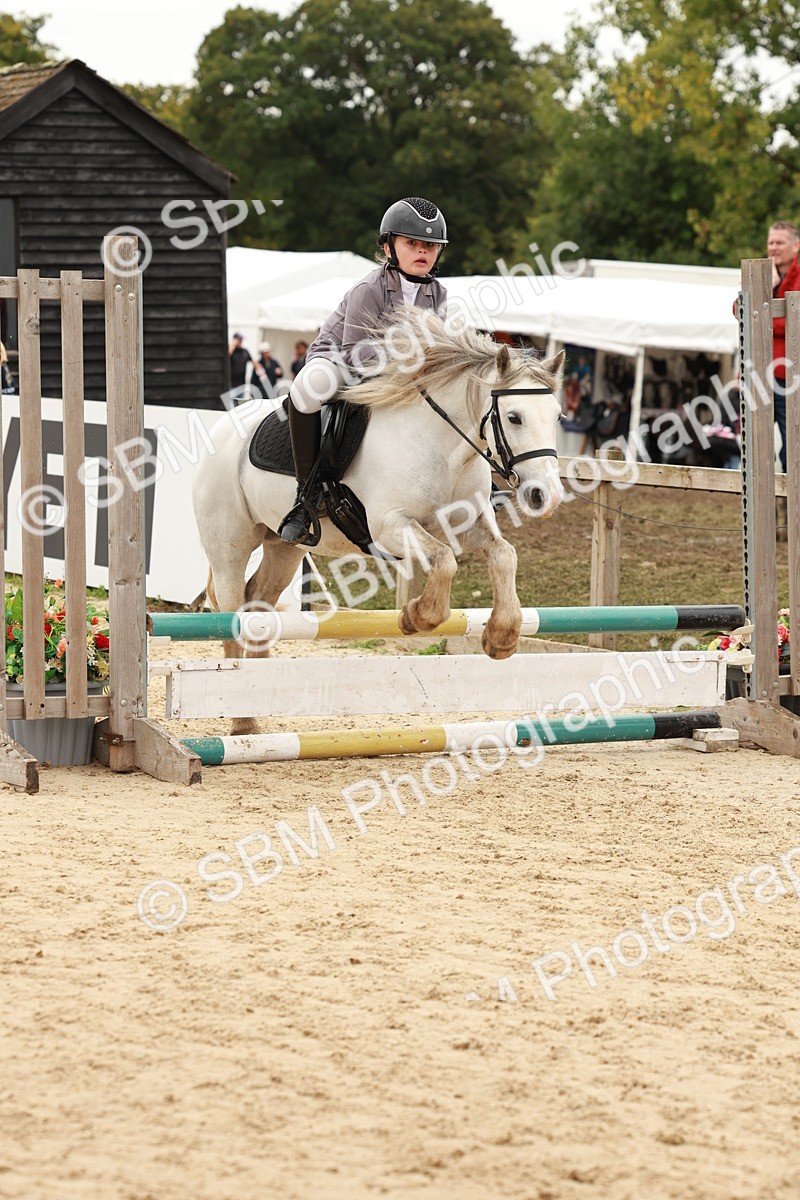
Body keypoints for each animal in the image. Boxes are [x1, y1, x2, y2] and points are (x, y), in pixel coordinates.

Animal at [192, 308, 565, 734]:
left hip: (284, 549)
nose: (547, 496)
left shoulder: (469, 524)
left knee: (258, 605)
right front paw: (417, 617)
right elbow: (444, 561)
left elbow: (504, 556)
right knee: (232, 613)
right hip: (228, 550)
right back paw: (242, 722)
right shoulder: (388, 527)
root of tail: (223, 427)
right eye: (515, 417)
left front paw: (501, 637)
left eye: (557, 416)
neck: (444, 447)